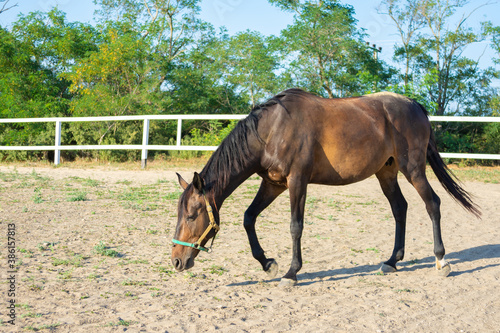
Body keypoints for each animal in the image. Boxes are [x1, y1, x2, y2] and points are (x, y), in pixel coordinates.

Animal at [172, 88, 480, 286]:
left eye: (192, 215)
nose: (176, 261)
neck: (272, 130)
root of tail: (415, 105)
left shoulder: (297, 181)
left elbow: (295, 227)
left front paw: (291, 273)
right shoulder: (273, 183)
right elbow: (249, 217)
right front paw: (268, 263)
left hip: (413, 168)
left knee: (432, 204)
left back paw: (441, 261)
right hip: (386, 172)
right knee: (400, 209)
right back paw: (392, 261)